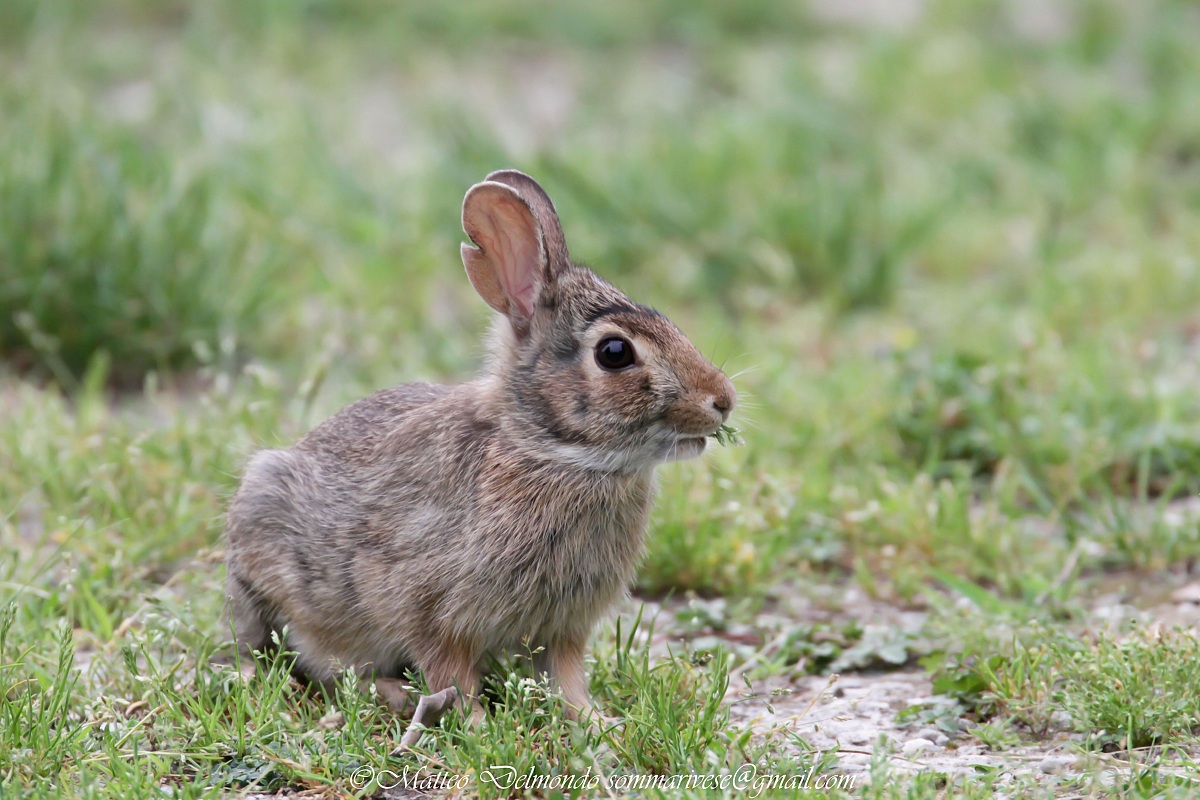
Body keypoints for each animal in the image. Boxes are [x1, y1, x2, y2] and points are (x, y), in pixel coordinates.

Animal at [224, 169, 736, 742]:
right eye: (614, 352)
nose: (722, 401)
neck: (550, 453)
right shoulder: (429, 608)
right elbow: (452, 672)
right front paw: (480, 728)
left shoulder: (564, 625)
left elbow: (567, 679)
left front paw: (598, 723)